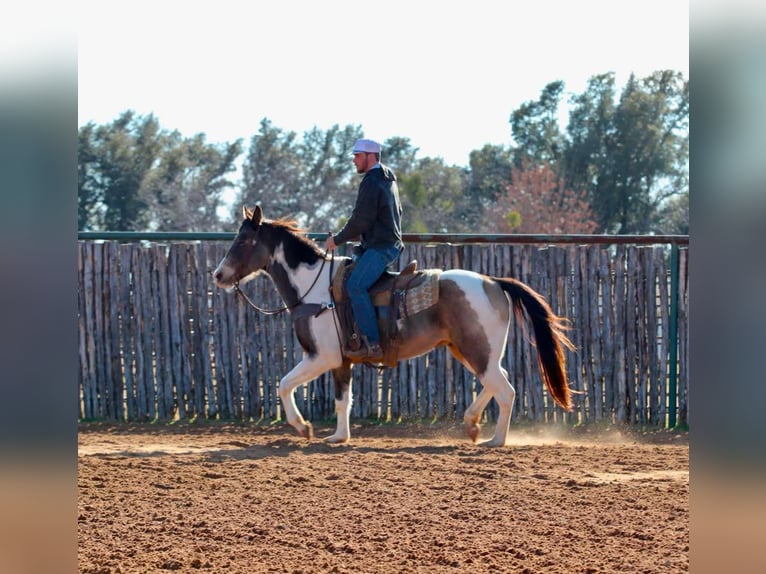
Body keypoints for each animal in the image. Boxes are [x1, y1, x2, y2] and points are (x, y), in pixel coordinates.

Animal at [212, 205, 576, 448]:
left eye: (244, 241)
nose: (218, 275)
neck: (312, 287)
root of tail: (493, 282)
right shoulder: (341, 361)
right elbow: (343, 399)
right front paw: (338, 436)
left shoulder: (321, 357)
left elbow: (284, 384)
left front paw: (303, 428)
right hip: (471, 350)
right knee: (496, 381)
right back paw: (472, 425)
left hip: (476, 350)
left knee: (505, 390)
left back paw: (495, 440)